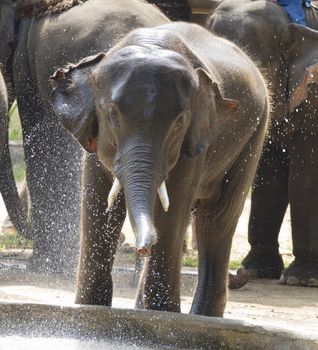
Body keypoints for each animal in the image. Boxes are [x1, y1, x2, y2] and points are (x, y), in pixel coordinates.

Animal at [51, 21, 268, 318]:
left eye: (178, 124)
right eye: (113, 116)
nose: (142, 249)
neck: (151, 46)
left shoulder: (194, 140)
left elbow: (171, 208)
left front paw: (164, 313)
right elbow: (99, 203)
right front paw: (89, 309)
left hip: (255, 133)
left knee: (216, 220)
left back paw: (202, 316)